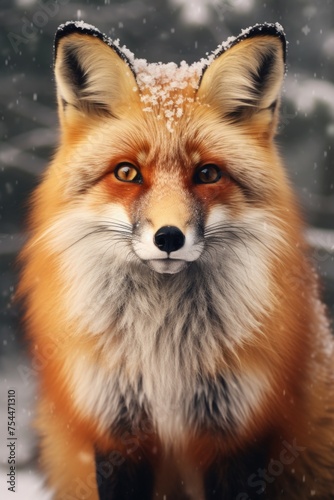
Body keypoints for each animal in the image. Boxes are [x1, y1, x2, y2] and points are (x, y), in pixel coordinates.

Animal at [18, 21, 334, 498]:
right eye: (127, 172)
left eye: (207, 173)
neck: (164, 353)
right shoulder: (118, 431)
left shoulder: (240, 430)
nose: (169, 237)